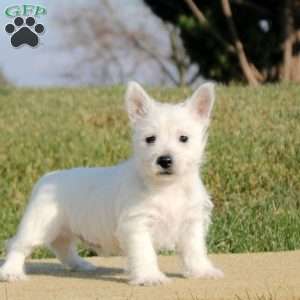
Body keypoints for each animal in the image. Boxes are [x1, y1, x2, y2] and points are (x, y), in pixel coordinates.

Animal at [0, 81, 223, 284]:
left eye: (184, 138)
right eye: (150, 139)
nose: (165, 160)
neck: (167, 187)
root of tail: (48, 177)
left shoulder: (191, 223)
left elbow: (195, 250)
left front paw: (202, 271)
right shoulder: (138, 224)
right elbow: (145, 253)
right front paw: (150, 277)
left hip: (62, 227)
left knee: (62, 246)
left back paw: (80, 264)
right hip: (38, 224)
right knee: (18, 245)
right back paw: (11, 272)